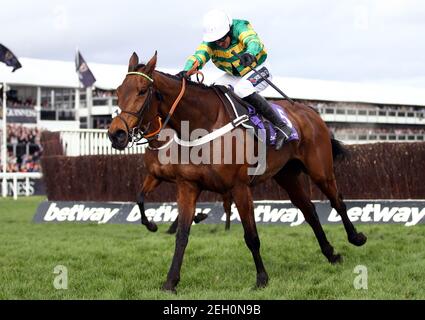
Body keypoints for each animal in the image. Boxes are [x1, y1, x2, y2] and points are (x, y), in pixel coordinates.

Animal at [107, 52, 366, 292]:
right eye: (118, 91)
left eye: (142, 91)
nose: (116, 134)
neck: (203, 124)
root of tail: (309, 110)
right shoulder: (187, 186)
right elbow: (181, 234)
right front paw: (170, 281)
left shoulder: (239, 187)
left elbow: (251, 236)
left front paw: (261, 279)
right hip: (286, 175)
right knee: (309, 210)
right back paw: (330, 253)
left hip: (320, 169)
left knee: (337, 201)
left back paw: (356, 238)